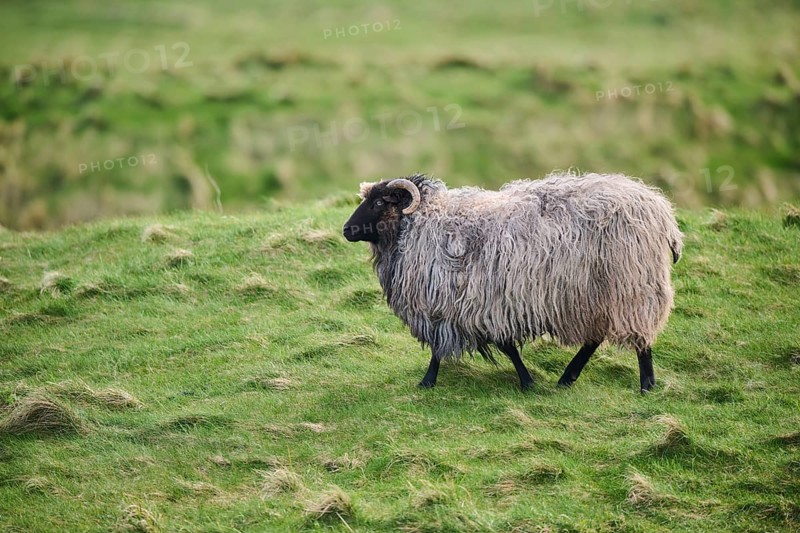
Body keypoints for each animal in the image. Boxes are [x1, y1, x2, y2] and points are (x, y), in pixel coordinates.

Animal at [342, 172, 683, 392]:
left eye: (379, 202)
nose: (346, 229)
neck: (421, 224)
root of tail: (661, 211)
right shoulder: (467, 303)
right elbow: (489, 347)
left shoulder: (466, 301)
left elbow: (480, 347)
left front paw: (428, 382)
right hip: (595, 291)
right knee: (594, 337)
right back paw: (567, 378)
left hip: (632, 284)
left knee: (639, 335)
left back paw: (646, 385)